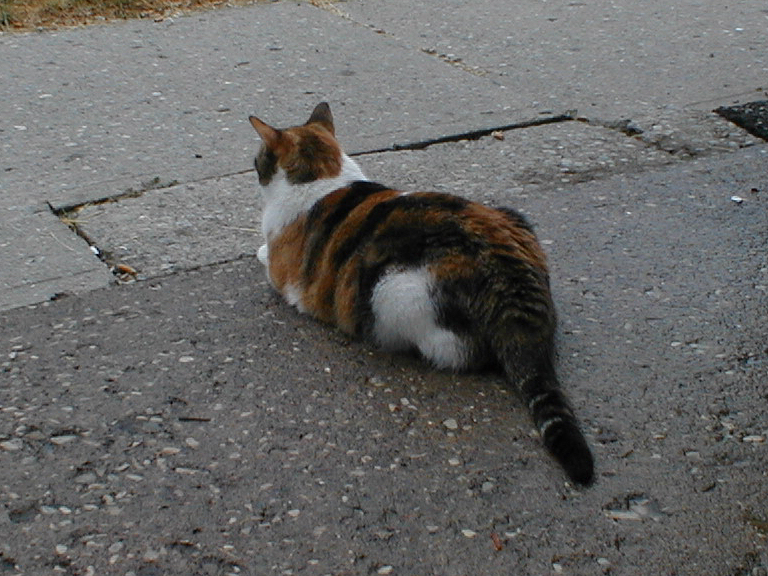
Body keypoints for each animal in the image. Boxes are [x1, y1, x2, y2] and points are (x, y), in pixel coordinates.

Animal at [248, 102, 594, 486]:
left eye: (258, 159)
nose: (254, 168)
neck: (323, 176)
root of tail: (513, 276)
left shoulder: (280, 271)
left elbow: (265, 257)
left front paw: (259, 251)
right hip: (512, 215)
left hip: (392, 290)